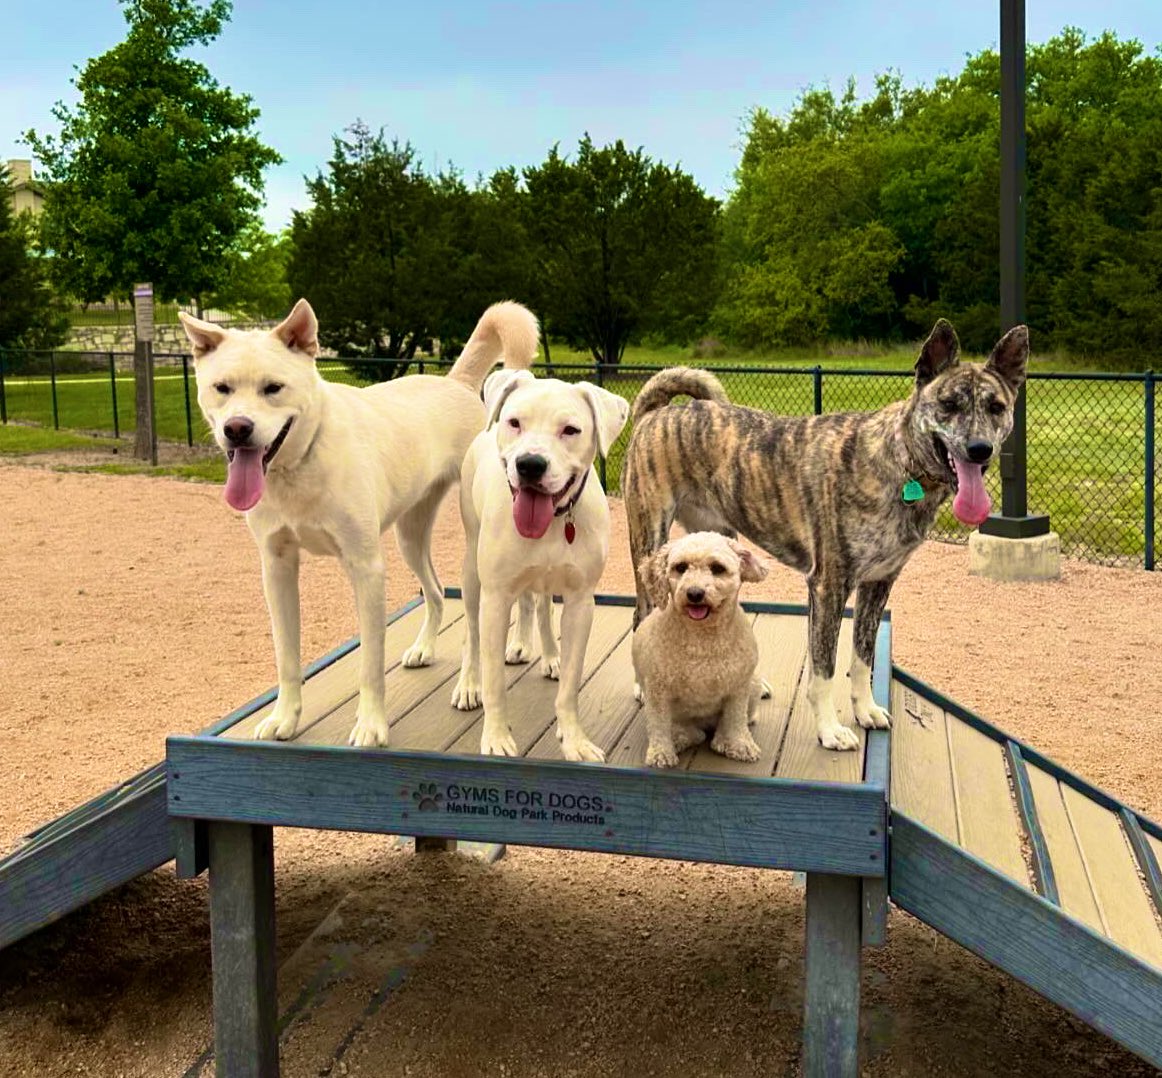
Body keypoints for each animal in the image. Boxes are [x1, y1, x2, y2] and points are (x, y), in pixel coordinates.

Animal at [180, 299, 539, 743]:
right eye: (222, 388)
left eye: (273, 388)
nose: (237, 428)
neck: (301, 463)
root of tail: (455, 382)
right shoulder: (277, 570)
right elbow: (287, 658)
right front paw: (285, 718)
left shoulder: (366, 568)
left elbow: (370, 664)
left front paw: (370, 725)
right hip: (410, 537)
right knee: (437, 592)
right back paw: (426, 648)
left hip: (478, 550)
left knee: (482, 625)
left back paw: (482, 676)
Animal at [453, 369, 632, 757]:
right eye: (515, 423)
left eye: (570, 430)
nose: (530, 464)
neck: (553, 522)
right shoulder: (495, 598)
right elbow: (494, 680)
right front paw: (496, 737)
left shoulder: (581, 602)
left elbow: (570, 686)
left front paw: (575, 739)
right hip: (472, 570)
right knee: (472, 633)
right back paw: (469, 684)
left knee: (540, 605)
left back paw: (548, 654)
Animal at [632, 529, 766, 766]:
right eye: (681, 567)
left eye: (717, 568)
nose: (694, 593)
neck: (702, 640)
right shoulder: (657, 690)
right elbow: (659, 724)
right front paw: (660, 753)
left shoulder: (738, 688)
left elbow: (735, 718)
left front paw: (740, 744)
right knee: (691, 732)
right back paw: (681, 737)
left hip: (755, 684)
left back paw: (722, 739)